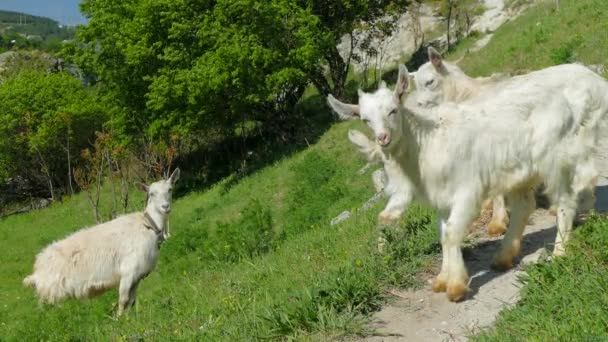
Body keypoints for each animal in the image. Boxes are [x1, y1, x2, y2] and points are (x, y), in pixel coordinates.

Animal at [23, 168, 180, 316]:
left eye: (170, 189)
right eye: (151, 193)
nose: (165, 207)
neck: (147, 225)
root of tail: (37, 272)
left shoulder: (137, 276)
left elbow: (131, 300)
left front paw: (128, 318)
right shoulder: (128, 271)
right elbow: (123, 300)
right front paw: (120, 320)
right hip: (52, 294)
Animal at [328, 67, 600, 302]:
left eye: (394, 110)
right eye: (365, 120)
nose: (383, 138)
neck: (427, 141)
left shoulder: (467, 190)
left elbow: (451, 233)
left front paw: (456, 286)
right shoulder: (441, 197)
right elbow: (442, 232)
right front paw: (442, 278)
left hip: (556, 159)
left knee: (565, 200)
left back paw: (560, 252)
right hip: (521, 170)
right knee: (524, 206)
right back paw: (503, 257)